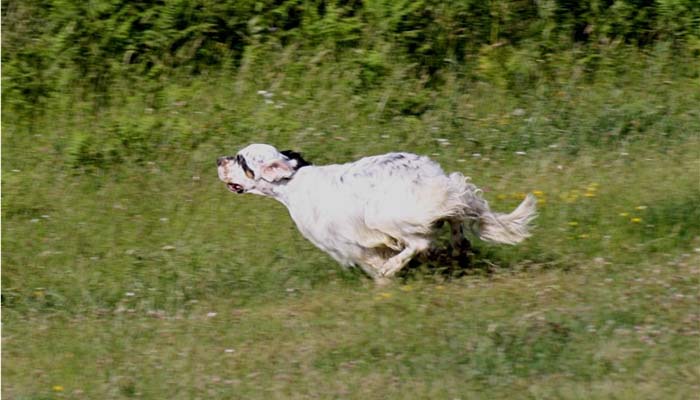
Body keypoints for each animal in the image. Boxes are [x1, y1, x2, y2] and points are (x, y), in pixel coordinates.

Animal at [217, 144, 536, 284]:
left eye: (241, 160)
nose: (219, 159)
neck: (293, 183)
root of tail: (433, 176)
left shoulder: (348, 244)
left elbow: (373, 261)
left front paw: (384, 277)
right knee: (455, 225)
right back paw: (458, 250)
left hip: (382, 215)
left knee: (420, 242)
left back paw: (395, 266)